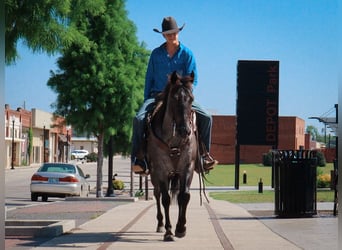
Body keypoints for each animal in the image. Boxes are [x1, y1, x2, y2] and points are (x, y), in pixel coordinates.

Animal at [146, 70, 199, 240]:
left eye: (191, 99)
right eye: (175, 99)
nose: (185, 130)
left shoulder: (187, 167)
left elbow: (184, 196)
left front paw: (181, 227)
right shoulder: (161, 170)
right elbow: (166, 199)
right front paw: (169, 231)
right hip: (155, 175)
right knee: (157, 194)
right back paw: (160, 224)